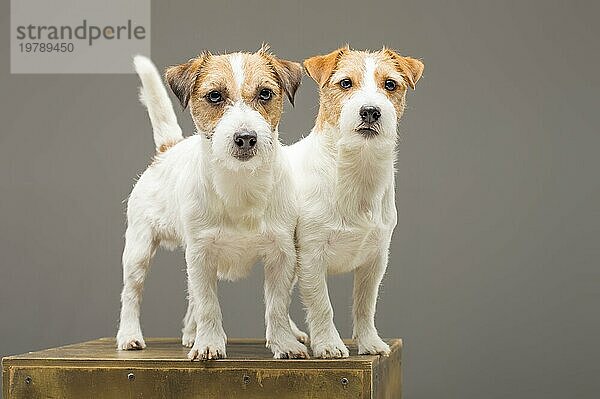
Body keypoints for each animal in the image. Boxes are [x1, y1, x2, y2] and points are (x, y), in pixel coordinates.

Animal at [116, 48, 310, 360]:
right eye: (215, 96)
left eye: (265, 94)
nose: (246, 138)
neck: (240, 185)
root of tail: (167, 149)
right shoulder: (201, 254)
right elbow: (208, 304)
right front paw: (208, 343)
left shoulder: (282, 254)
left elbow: (277, 304)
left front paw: (284, 342)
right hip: (139, 250)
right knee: (132, 293)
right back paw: (130, 335)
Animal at [284, 47, 422, 360]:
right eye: (345, 83)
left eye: (390, 84)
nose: (370, 111)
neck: (357, 169)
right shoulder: (312, 256)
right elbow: (321, 304)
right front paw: (328, 344)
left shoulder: (375, 260)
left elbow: (365, 305)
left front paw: (370, 342)